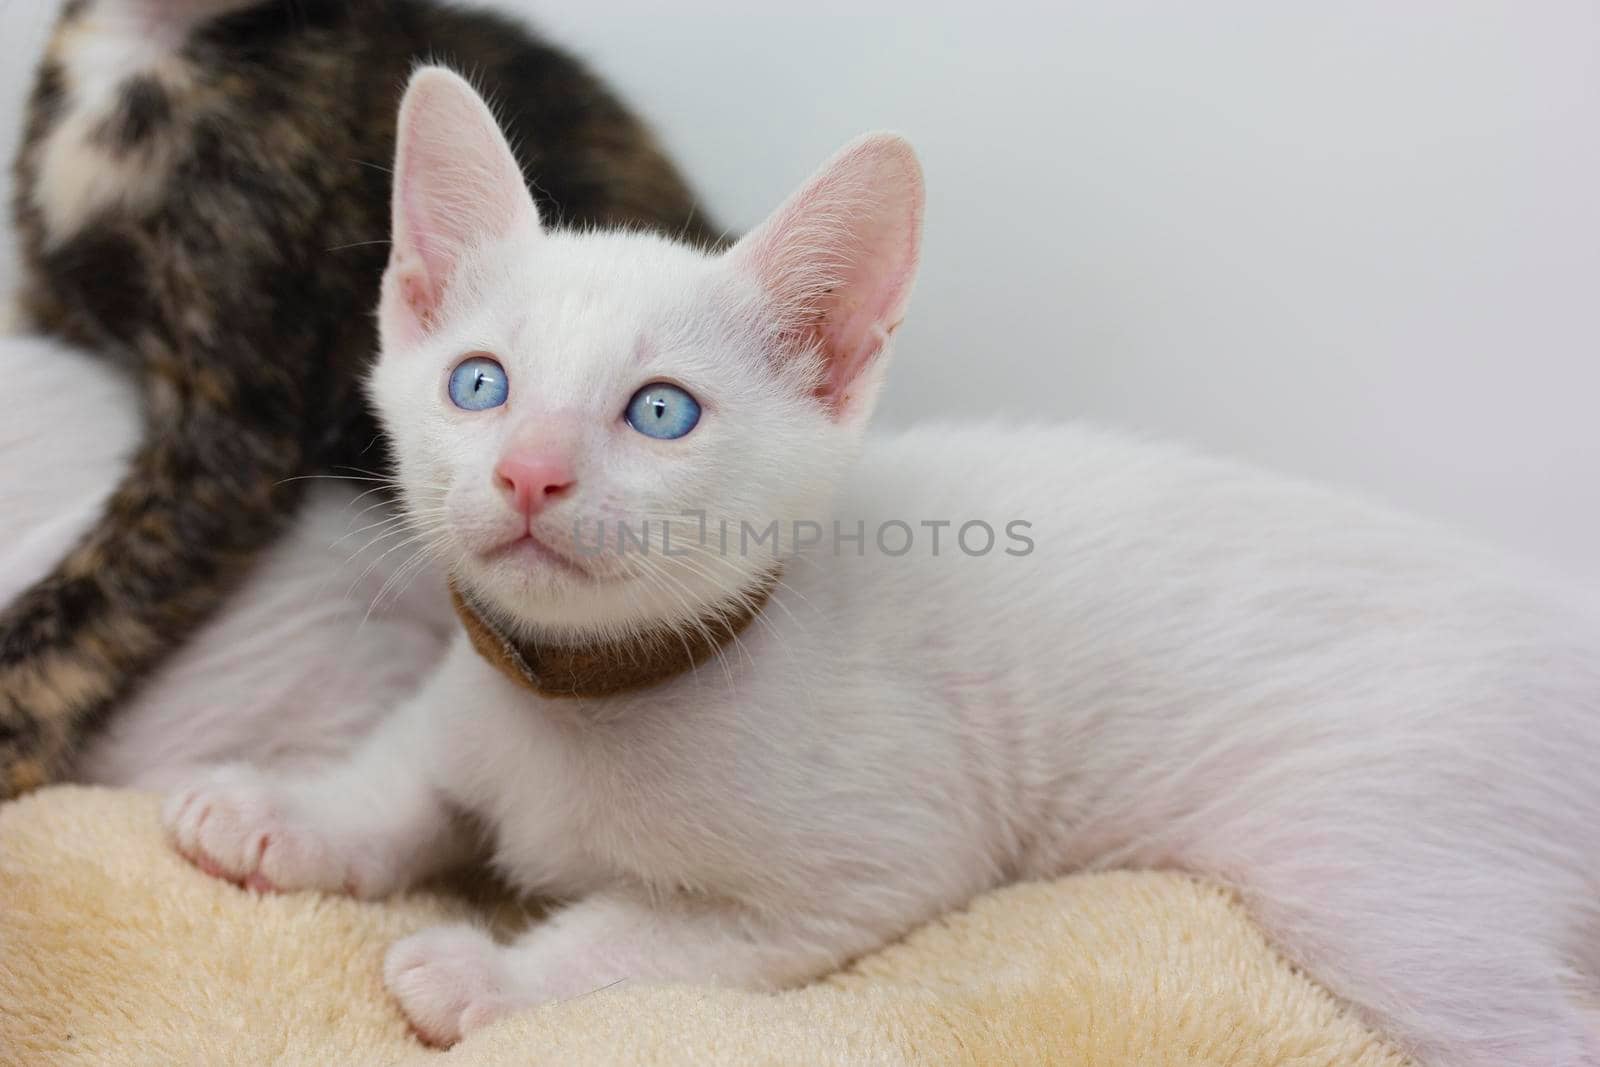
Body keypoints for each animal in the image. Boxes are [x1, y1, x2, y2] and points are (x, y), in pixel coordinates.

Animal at [162, 68, 1600, 1067]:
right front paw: (278, 811)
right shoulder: (470, 697)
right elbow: (402, 780)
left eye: (661, 412)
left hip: (1372, 869)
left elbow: (638, 943)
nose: (529, 472)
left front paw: (485, 975)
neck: (582, 691)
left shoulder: (878, 864)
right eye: (479, 384)